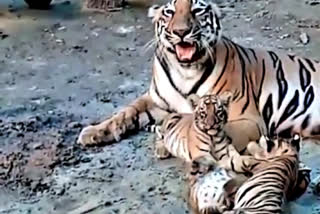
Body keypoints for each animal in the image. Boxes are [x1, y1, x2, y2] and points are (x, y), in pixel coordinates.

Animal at [77, 0, 320, 153]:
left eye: (196, 11)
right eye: (169, 12)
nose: (181, 31)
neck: (185, 71)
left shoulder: (248, 118)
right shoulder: (156, 100)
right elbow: (125, 112)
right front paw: (94, 132)